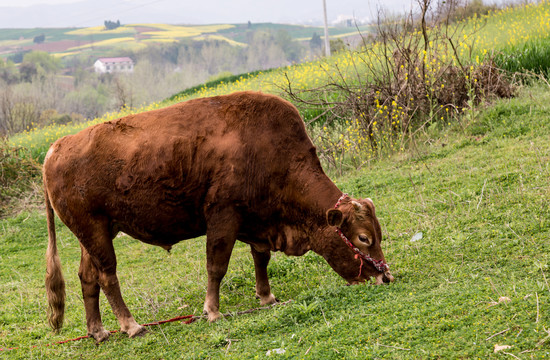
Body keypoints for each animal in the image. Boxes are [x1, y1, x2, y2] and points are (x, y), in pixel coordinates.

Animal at [44, 91, 396, 342]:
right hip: (96, 232)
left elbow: (260, 259)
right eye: (363, 238)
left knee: (87, 277)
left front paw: (267, 297)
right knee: (107, 276)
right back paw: (131, 325)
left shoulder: (257, 221)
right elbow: (217, 266)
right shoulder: (224, 218)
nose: (386, 277)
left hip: (96, 233)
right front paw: (212, 311)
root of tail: (56, 147)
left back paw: (98, 331)